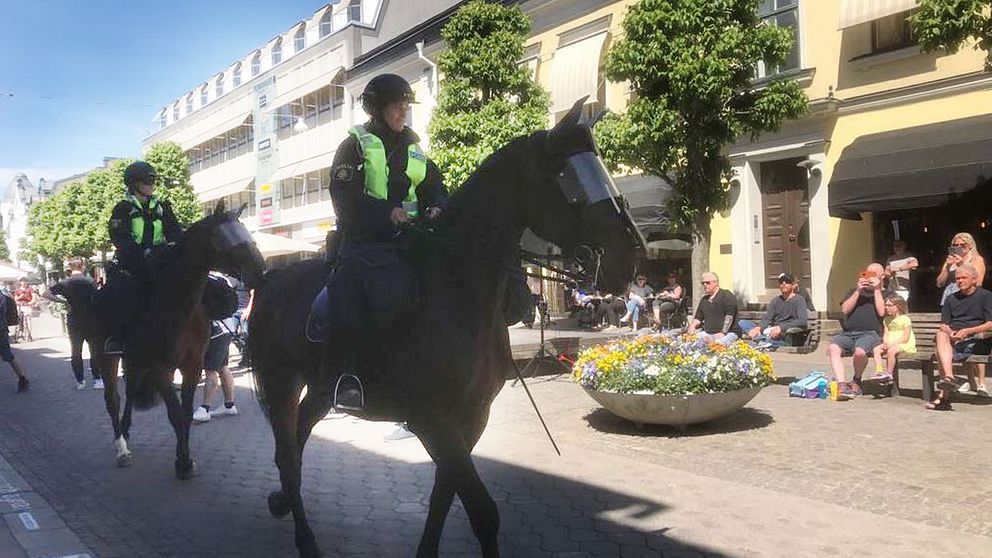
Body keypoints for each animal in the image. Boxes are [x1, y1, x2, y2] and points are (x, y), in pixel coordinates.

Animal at [89, 205, 266, 482]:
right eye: (222, 238)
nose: (260, 271)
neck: (177, 306)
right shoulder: (161, 368)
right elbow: (174, 413)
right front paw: (182, 462)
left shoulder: (192, 366)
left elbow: (185, 413)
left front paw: (184, 457)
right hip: (106, 356)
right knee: (112, 400)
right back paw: (121, 448)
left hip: (134, 360)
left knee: (129, 393)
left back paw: (126, 433)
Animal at [250, 101, 644, 558]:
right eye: (571, 181)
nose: (631, 256)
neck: (454, 290)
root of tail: (269, 279)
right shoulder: (431, 418)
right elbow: (482, 510)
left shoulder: (472, 417)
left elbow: (445, 493)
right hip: (281, 383)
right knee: (288, 455)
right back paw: (305, 538)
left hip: (317, 387)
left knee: (296, 441)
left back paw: (282, 503)